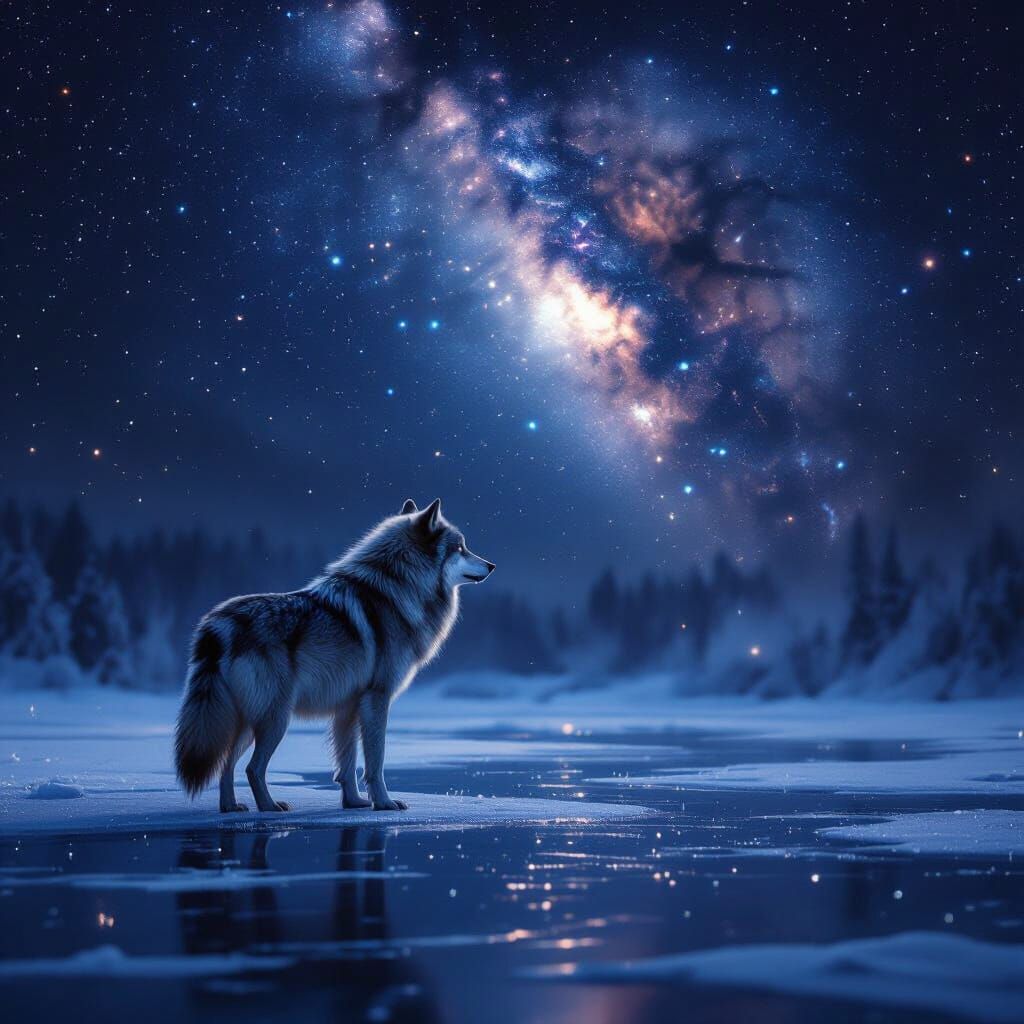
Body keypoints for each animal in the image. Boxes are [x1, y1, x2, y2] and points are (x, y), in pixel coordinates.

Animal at [174, 498, 494, 813]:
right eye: (460, 548)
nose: (491, 565)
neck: (399, 588)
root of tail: (219, 623)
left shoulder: (348, 707)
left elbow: (347, 765)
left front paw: (354, 803)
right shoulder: (377, 698)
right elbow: (375, 762)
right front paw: (384, 803)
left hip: (244, 721)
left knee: (225, 765)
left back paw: (231, 807)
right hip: (275, 719)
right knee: (253, 768)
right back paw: (269, 807)